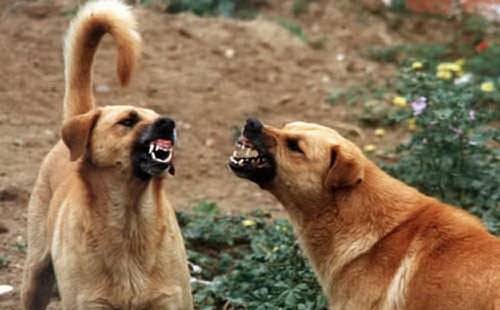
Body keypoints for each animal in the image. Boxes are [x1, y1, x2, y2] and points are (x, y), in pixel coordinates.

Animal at [20, 1, 191, 308]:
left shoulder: (172, 299)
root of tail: (82, 115)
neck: (130, 221)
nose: (169, 123)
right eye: (128, 120)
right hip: (36, 276)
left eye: (156, 116)